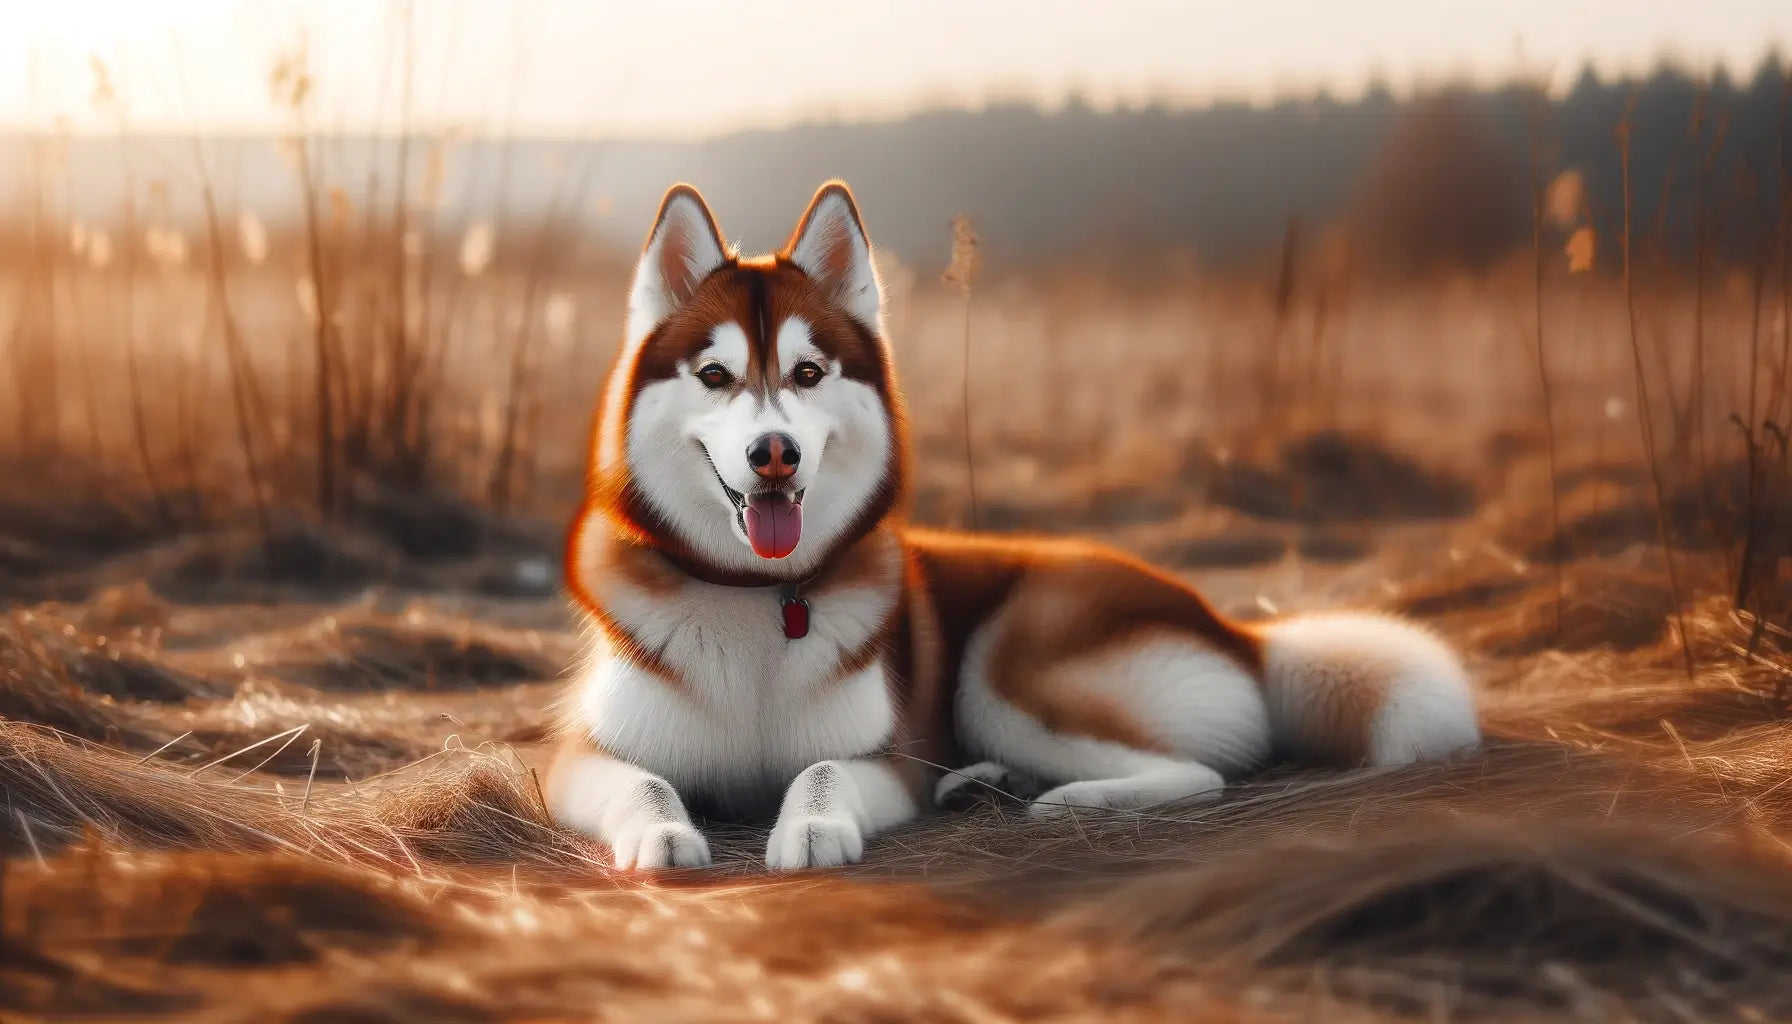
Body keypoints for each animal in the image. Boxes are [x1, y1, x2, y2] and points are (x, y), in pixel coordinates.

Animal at [548, 180, 1483, 867]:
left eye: (808, 373)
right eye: (715, 376)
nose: (774, 454)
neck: (757, 598)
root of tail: (1237, 631)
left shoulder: (894, 763)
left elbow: (819, 769)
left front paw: (811, 825)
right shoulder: (575, 760)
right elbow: (644, 783)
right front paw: (665, 835)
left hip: (1007, 666)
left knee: (1195, 771)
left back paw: (1065, 800)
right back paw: (991, 784)